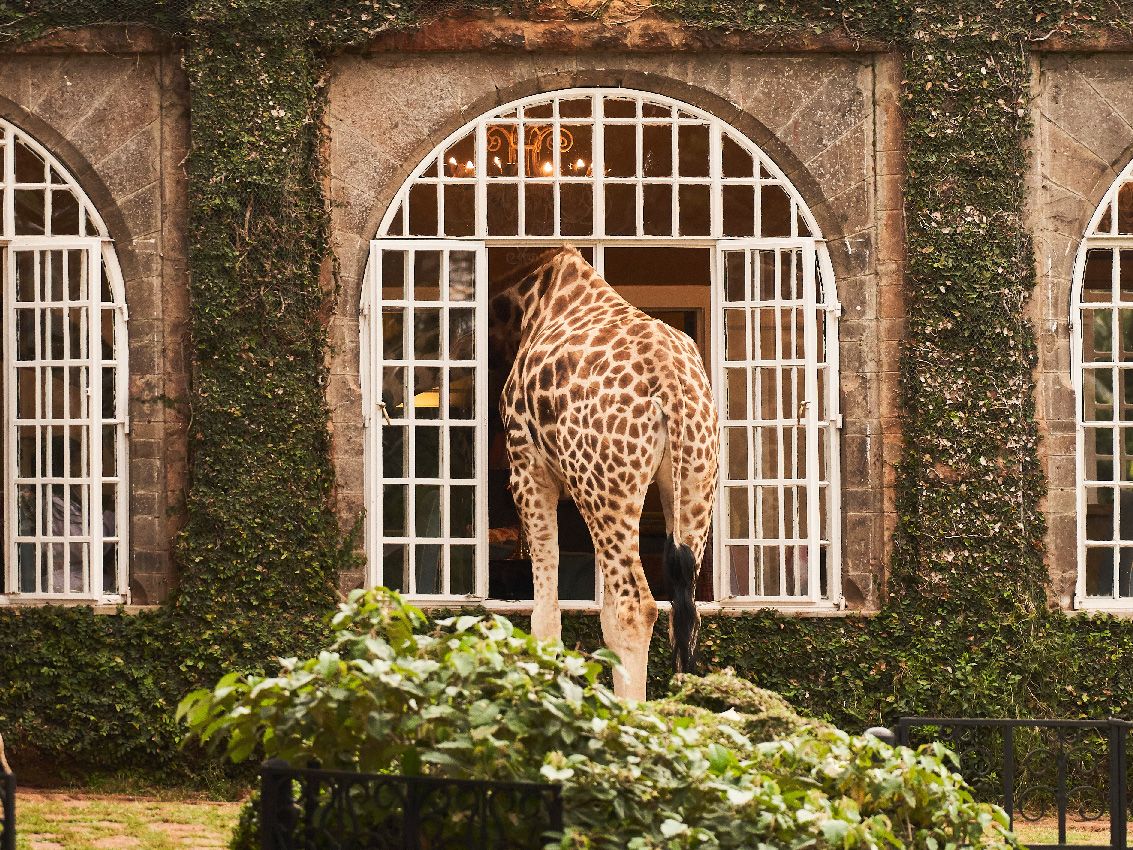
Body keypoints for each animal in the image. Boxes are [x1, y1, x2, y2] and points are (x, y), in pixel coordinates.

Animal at [492, 246, 719, 700]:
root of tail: (669, 378)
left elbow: (544, 617)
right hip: (694, 480)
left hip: (604, 485)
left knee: (636, 607)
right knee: (684, 614)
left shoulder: (527, 468)